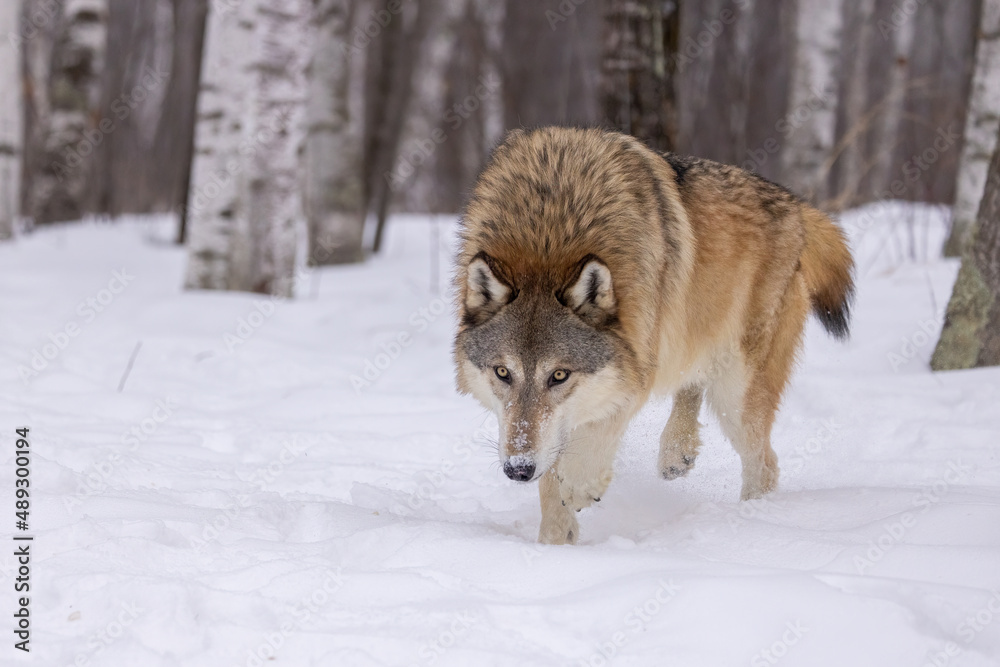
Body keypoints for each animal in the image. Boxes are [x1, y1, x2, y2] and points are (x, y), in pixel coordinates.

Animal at [453, 127, 854, 545]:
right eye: (502, 373)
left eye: (559, 375)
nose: (518, 469)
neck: (549, 231)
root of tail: (795, 205)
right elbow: (551, 475)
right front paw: (555, 542)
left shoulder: (633, 362)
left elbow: (594, 436)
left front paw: (579, 486)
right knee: (694, 383)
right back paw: (677, 452)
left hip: (737, 393)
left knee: (765, 464)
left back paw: (749, 523)